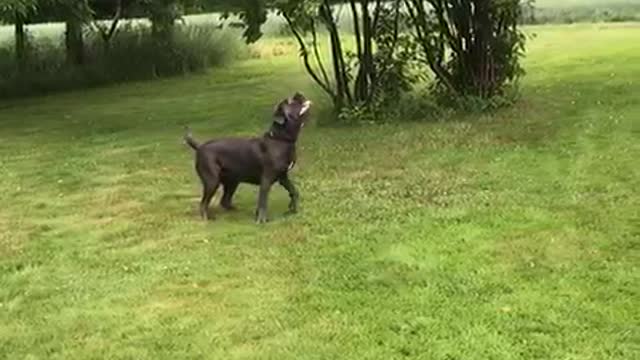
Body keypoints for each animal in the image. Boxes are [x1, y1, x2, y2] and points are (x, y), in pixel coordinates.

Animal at [182, 92, 312, 222]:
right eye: (289, 101)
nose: (298, 93)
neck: (280, 139)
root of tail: (200, 146)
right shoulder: (266, 180)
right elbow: (263, 202)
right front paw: (261, 220)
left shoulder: (283, 176)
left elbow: (294, 191)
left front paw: (292, 208)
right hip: (212, 181)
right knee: (203, 203)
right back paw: (206, 218)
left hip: (232, 181)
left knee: (224, 201)